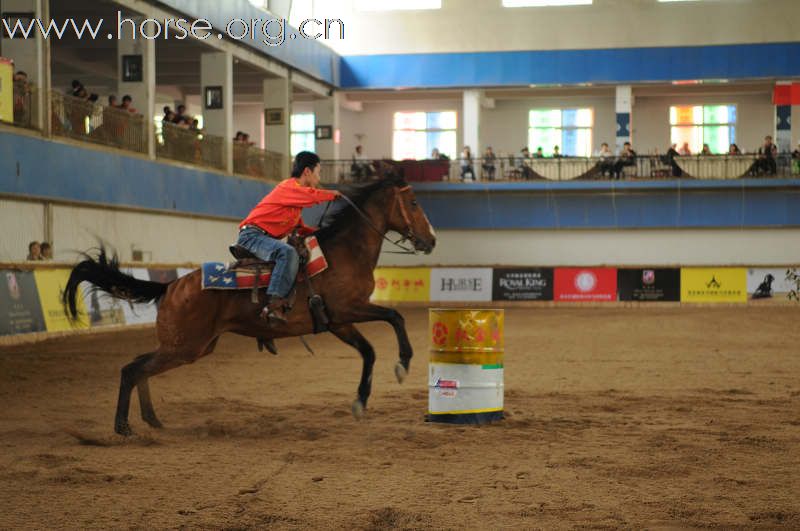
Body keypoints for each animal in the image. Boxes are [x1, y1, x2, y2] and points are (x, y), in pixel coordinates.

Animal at [61, 175, 438, 436]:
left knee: (140, 366)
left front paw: (360, 401)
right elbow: (395, 316)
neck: (344, 253)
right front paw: (403, 363)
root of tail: (171, 285)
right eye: (414, 203)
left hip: (191, 346)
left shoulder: (337, 321)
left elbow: (369, 351)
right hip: (185, 346)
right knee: (132, 369)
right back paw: (123, 426)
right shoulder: (348, 309)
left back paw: (152, 419)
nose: (431, 240)